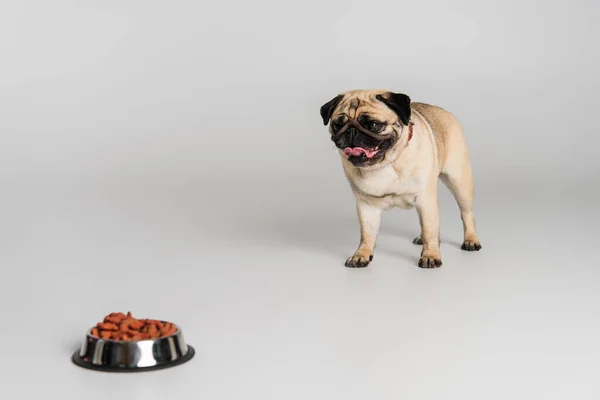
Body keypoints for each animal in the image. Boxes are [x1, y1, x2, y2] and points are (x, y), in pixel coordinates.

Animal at [318, 90, 482, 268]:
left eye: (374, 125)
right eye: (337, 125)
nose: (352, 131)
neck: (384, 164)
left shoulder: (426, 200)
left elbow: (430, 230)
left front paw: (430, 255)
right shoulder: (367, 205)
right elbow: (367, 234)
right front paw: (361, 255)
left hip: (459, 183)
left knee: (466, 214)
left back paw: (471, 240)